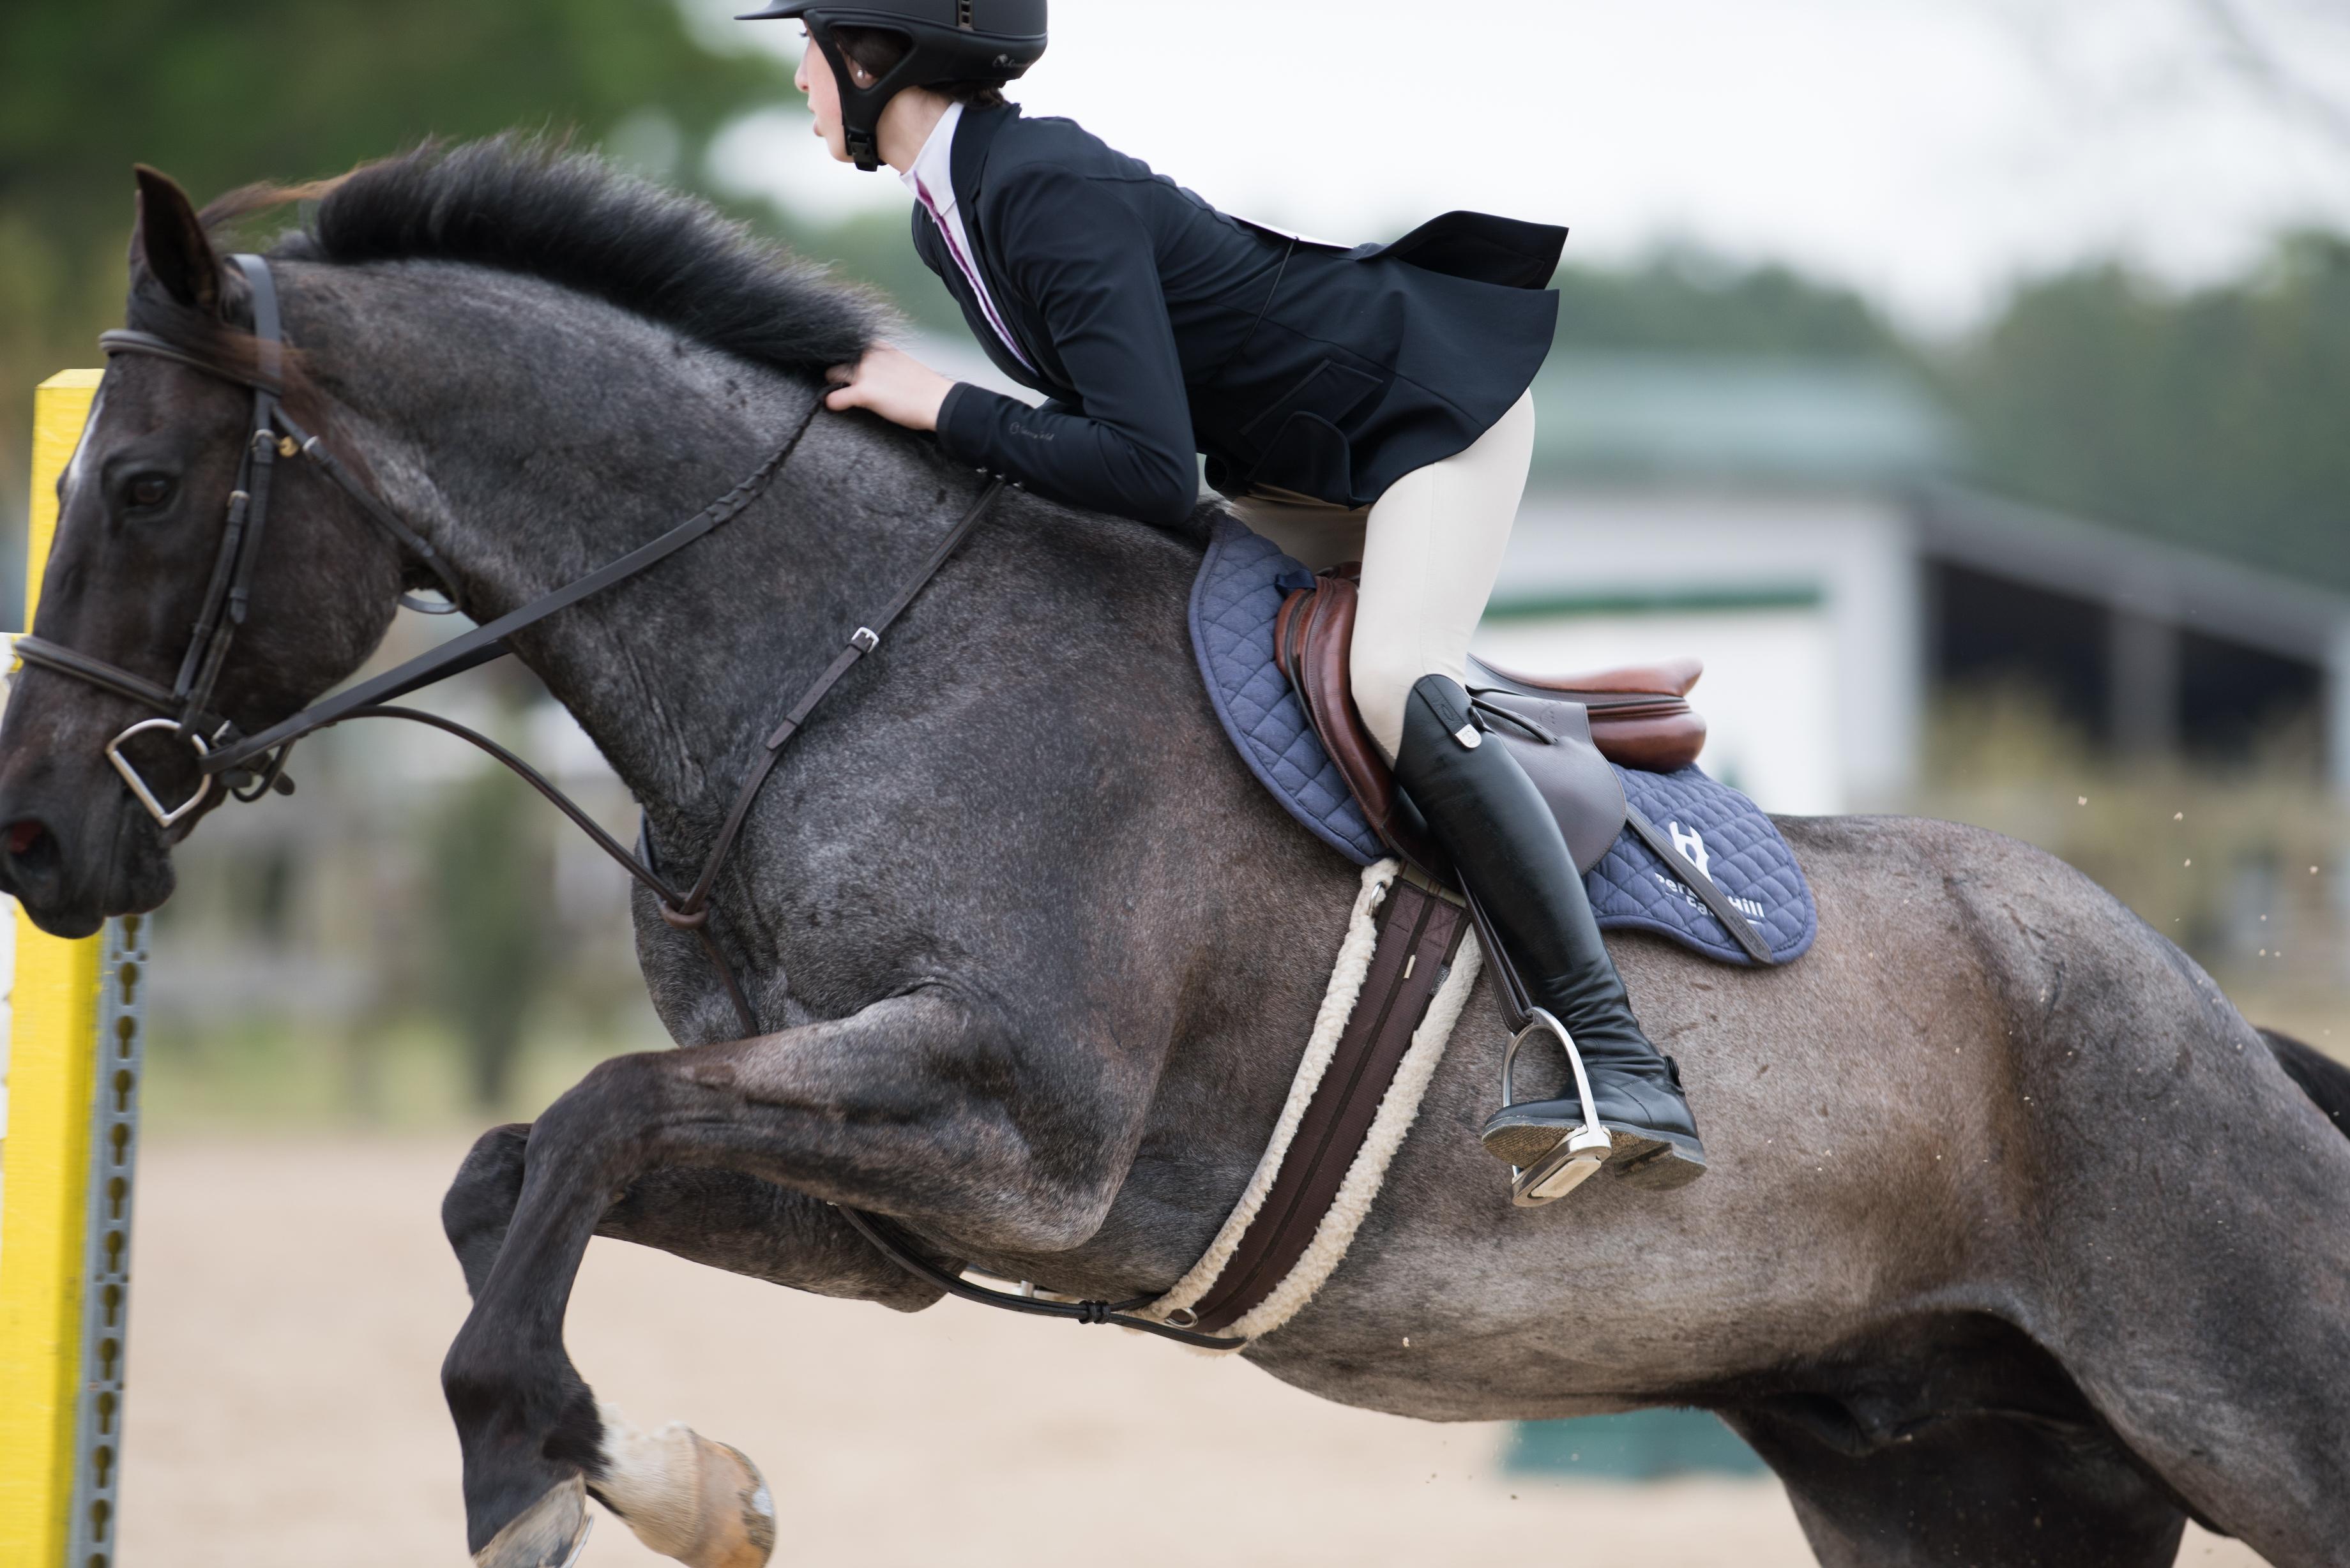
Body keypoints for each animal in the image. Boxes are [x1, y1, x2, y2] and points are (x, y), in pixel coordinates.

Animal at [3, 142, 2345, 1568]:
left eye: (138, 486)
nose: (32, 840)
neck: (833, 665)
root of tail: (2218, 1017)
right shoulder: (889, 1208)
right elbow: (520, 1163)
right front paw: (676, 1478)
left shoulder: (1015, 1126)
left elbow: (582, 1121)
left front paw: (527, 1466)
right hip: (1957, 1464)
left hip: (2242, 1391)